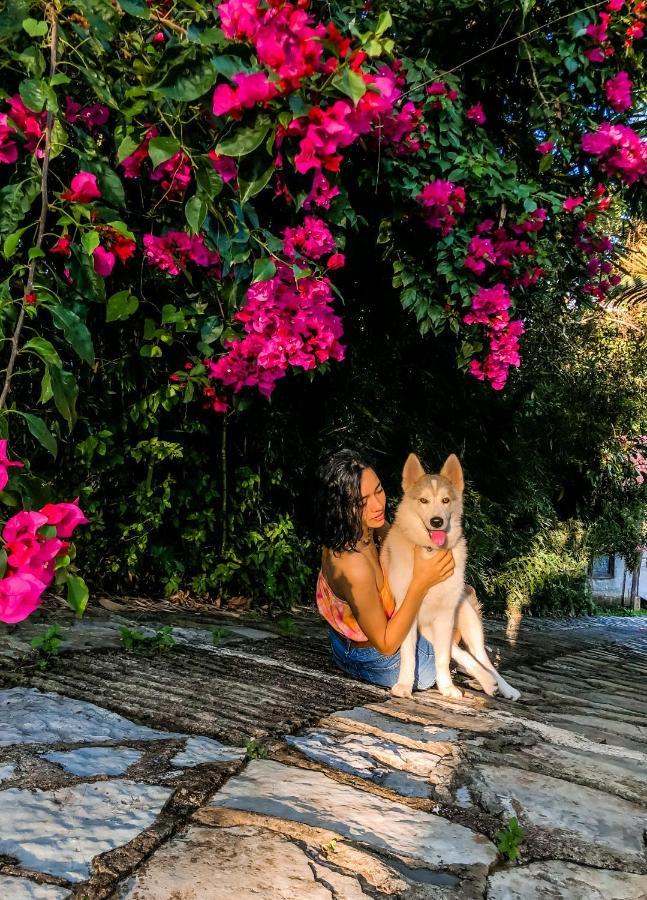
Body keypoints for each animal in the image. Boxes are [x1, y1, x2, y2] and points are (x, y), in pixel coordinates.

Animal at [380, 454, 520, 700]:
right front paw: (404, 686)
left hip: (467, 623)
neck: (430, 552)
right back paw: (486, 682)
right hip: (429, 629)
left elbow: (443, 658)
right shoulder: (407, 613)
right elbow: (409, 655)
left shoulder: (445, 616)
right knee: (466, 657)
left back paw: (502, 686)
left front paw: (447, 687)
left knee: (481, 659)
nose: (436, 521)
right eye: (424, 500)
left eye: (446, 500)